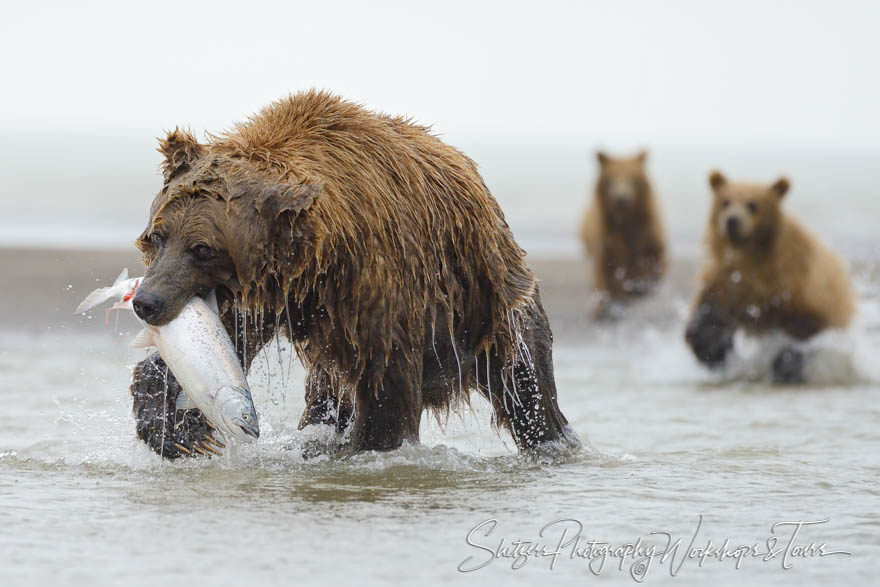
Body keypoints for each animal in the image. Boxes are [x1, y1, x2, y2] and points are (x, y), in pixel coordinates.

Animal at [125, 92, 576, 460]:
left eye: (202, 248)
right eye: (157, 236)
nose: (147, 302)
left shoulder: (379, 282)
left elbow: (386, 392)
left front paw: (366, 450)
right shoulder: (275, 293)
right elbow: (227, 342)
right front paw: (177, 428)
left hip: (492, 311)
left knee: (529, 389)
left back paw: (554, 442)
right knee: (327, 393)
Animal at [576, 152, 668, 316]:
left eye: (633, 178)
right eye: (611, 178)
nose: (621, 199)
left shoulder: (649, 236)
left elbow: (655, 264)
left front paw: (639, 287)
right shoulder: (607, 240)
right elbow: (605, 272)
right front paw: (606, 306)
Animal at [684, 171, 856, 382]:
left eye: (752, 204)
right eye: (725, 202)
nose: (732, 220)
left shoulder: (797, 287)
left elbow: (805, 333)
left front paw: (786, 365)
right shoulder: (724, 283)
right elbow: (708, 319)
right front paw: (712, 350)